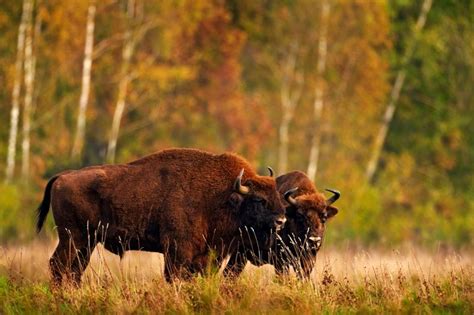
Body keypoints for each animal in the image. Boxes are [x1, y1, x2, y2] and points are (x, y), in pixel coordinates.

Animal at [35, 149, 286, 286]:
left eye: (277, 195)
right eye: (258, 200)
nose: (281, 221)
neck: (221, 196)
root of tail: (62, 177)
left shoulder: (207, 255)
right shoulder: (177, 250)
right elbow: (174, 276)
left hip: (87, 241)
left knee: (73, 269)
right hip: (73, 237)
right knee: (59, 266)